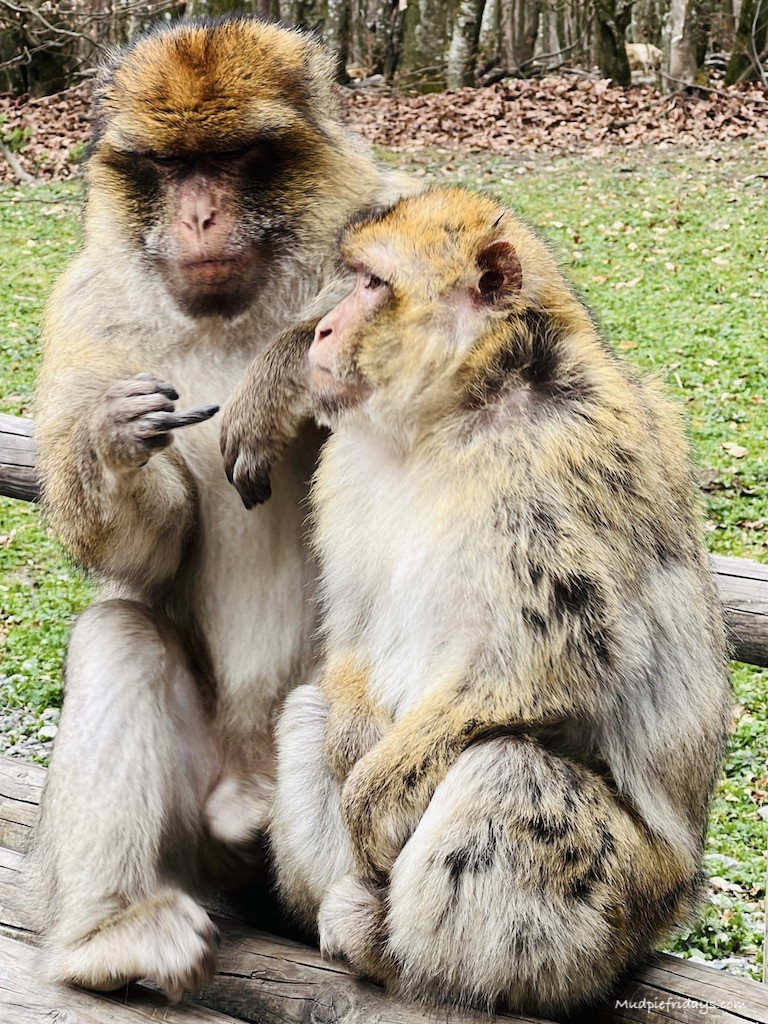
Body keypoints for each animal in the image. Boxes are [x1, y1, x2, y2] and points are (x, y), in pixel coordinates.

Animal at [30, 17, 409, 1001]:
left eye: (232, 159)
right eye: (170, 168)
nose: (199, 216)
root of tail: (241, 798)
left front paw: (285, 372)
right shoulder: (83, 306)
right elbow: (148, 555)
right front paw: (112, 442)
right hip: (192, 829)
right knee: (120, 634)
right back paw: (112, 935)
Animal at [245, 186, 731, 1016]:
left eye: (371, 283)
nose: (325, 327)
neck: (452, 415)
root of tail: (677, 897)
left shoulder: (546, 467)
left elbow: (563, 656)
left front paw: (370, 800)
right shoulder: (346, 464)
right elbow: (352, 634)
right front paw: (352, 750)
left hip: (622, 907)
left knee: (507, 774)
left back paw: (400, 959)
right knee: (309, 709)